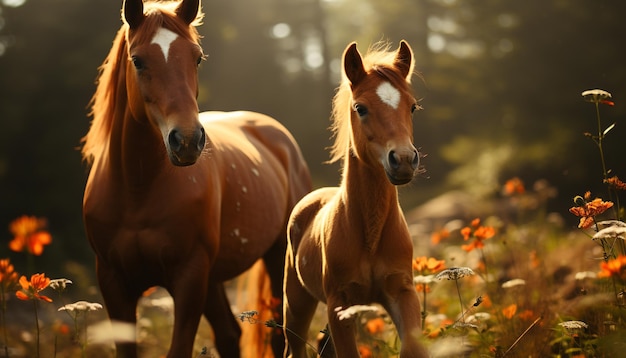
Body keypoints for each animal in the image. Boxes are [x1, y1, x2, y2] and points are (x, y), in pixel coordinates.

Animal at [80, 1, 310, 356]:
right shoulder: (113, 282)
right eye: (138, 60)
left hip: (275, 258)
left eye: (197, 57)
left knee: (279, 334)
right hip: (213, 278)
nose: (187, 140)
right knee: (229, 334)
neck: (137, 190)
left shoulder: (189, 278)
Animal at [282, 40, 428, 356]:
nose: (404, 160)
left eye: (412, 107)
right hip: (297, 303)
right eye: (360, 108)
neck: (370, 235)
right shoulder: (340, 303)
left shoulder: (402, 291)